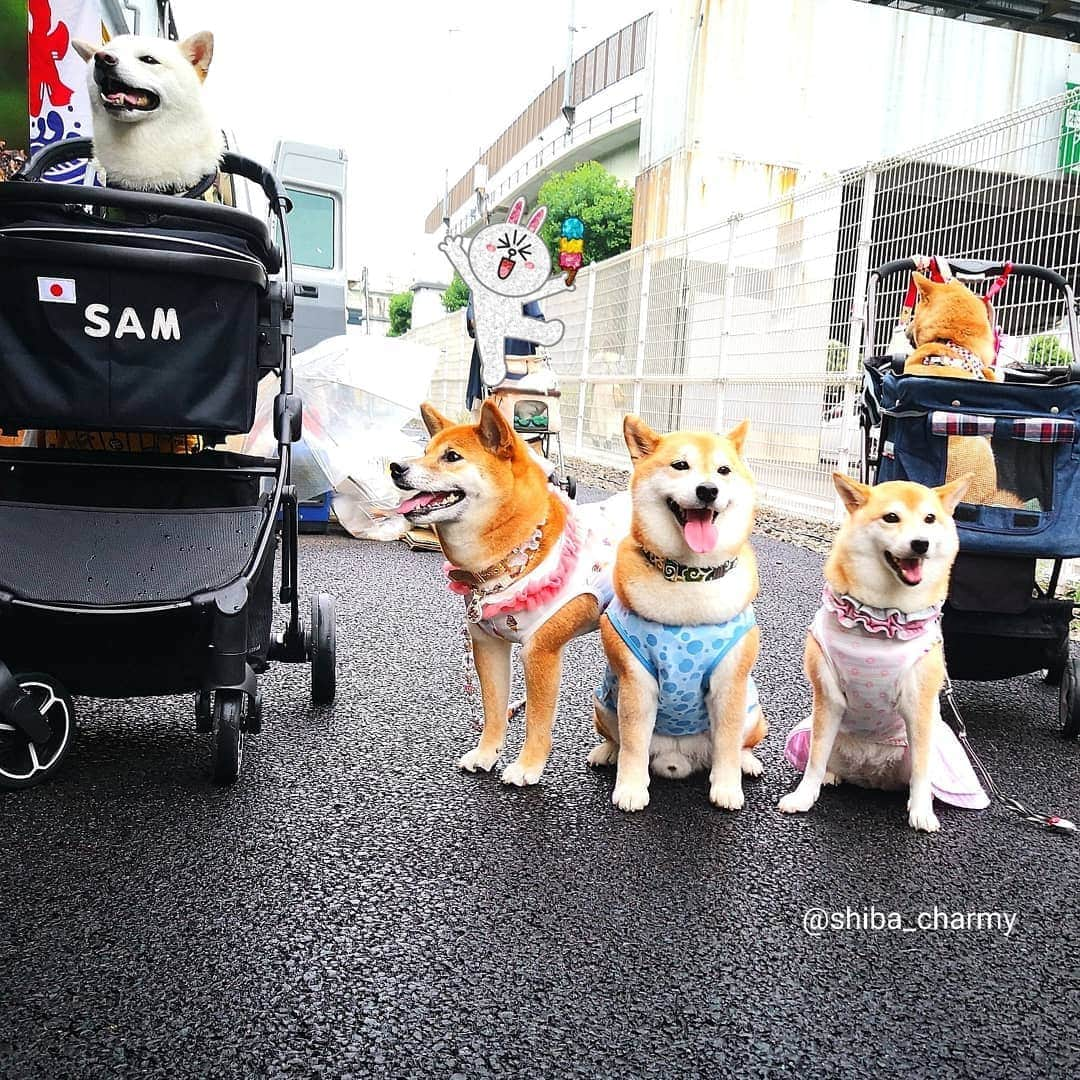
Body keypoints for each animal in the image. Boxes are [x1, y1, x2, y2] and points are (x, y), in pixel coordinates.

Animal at [390, 401, 630, 781]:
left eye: (451, 456)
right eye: (425, 451)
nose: (396, 467)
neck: (514, 557)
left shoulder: (540, 652)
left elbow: (537, 719)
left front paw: (527, 767)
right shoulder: (488, 644)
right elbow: (494, 710)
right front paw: (486, 753)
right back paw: (609, 750)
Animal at [587, 412, 764, 812]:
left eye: (724, 470)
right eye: (680, 465)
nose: (708, 490)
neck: (690, 577)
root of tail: (679, 759)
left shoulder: (730, 685)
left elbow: (728, 744)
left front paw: (727, 787)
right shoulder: (636, 683)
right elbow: (633, 744)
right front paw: (630, 788)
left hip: (753, 710)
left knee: (739, 744)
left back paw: (747, 762)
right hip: (604, 705)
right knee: (618, 739)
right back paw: (606, 752)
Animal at [777, 475, 989, 833]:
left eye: (929, 519)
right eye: (891, 517)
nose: (921, 543)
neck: (883, 617)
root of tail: (872, 774)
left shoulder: (919, 707)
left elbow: (922, 772)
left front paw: (922, 812)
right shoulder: (827, 698)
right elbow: (815, 759)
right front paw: (804, 796)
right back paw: (832, 775)